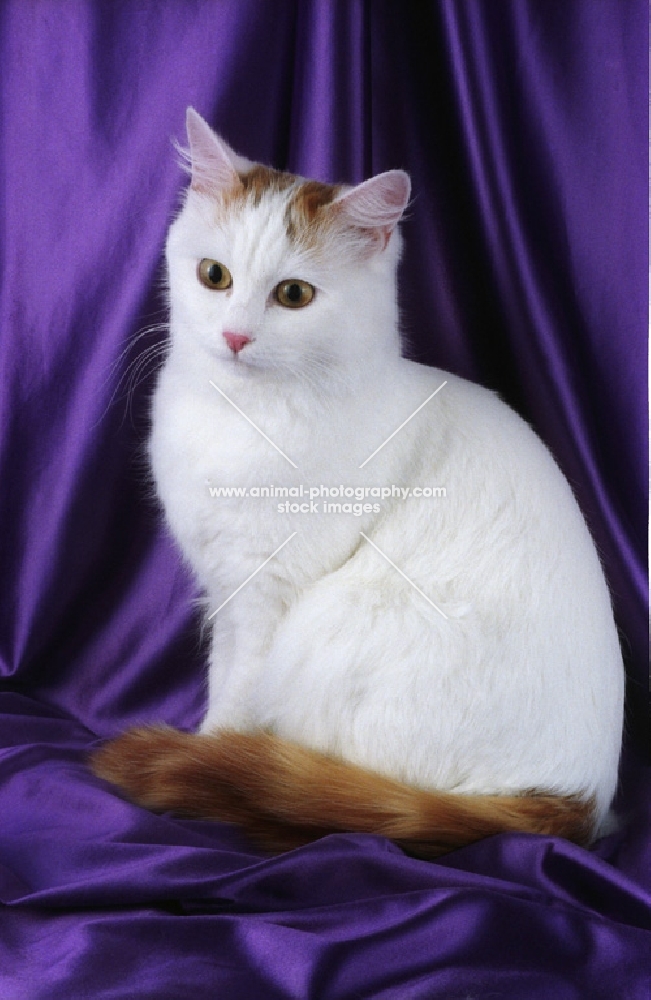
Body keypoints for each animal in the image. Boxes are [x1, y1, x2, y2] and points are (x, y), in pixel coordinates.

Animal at [91, 111, 628, 860]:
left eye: (293, 295)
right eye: (213, 276)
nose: (234, 336)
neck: (243, 414)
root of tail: (574, 804)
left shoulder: (268, 595)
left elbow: (235, 699)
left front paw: (208, 752)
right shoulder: (226, 588)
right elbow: (220, 678)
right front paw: (205, 745)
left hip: (342, 621)